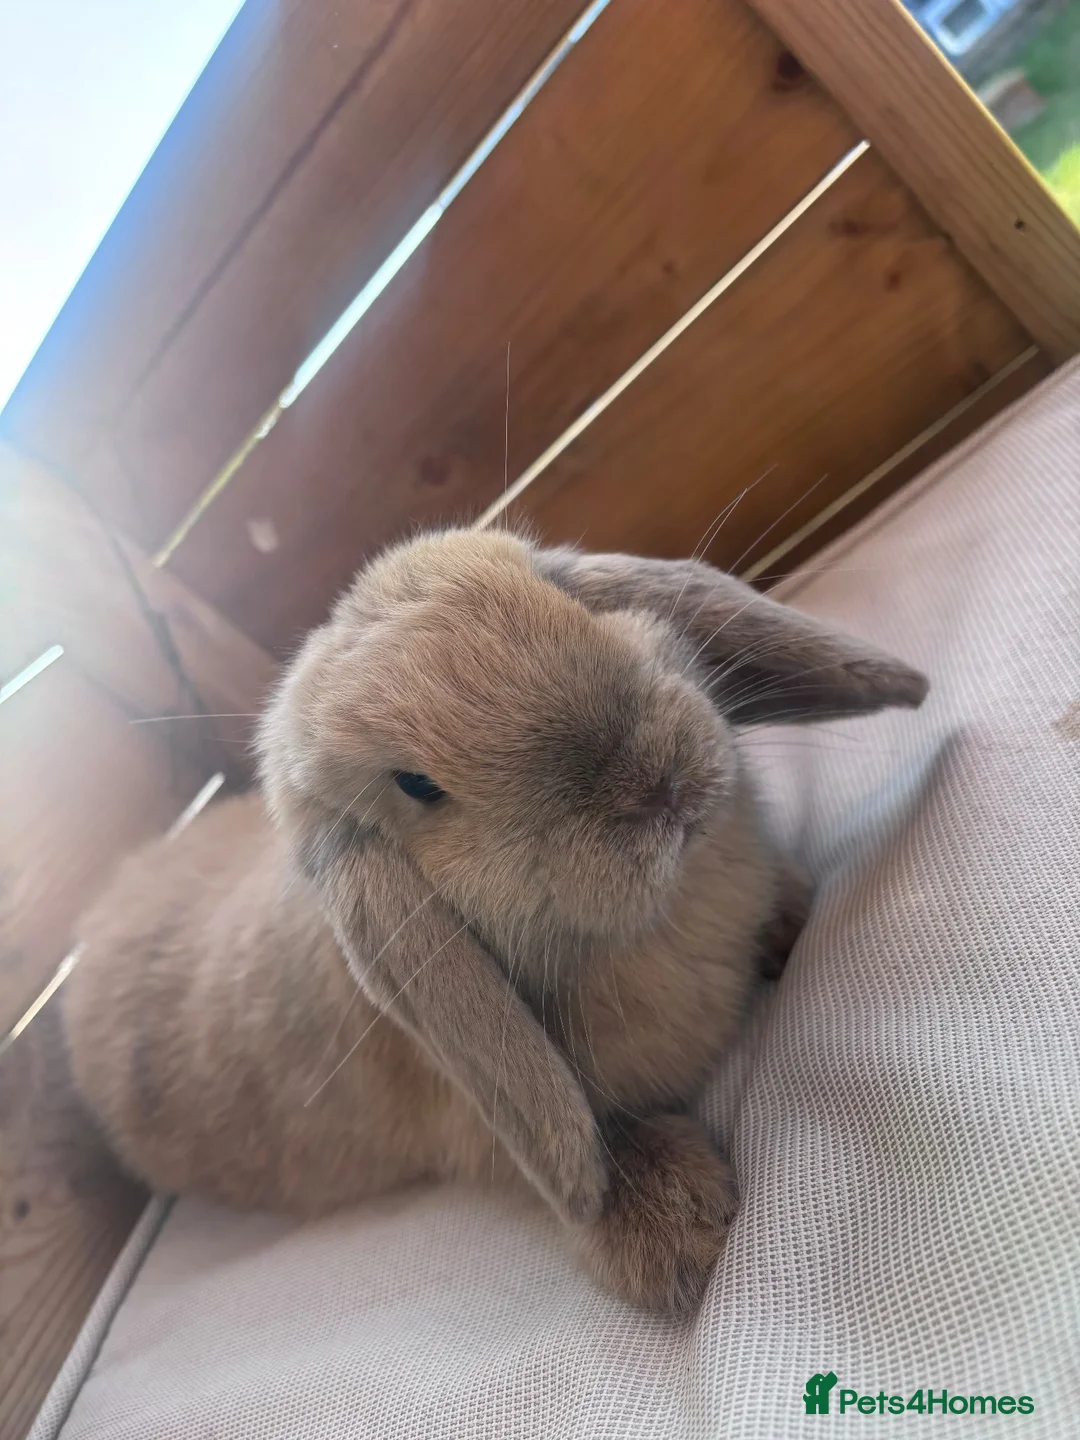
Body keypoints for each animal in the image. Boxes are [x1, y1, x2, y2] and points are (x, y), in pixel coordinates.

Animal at [63, 528, 927, 1313]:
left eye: (559, 595)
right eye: (416, 785)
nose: (658, 787)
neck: (672, 909)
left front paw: (792, 913)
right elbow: (588, 1146)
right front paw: (679, 1236)